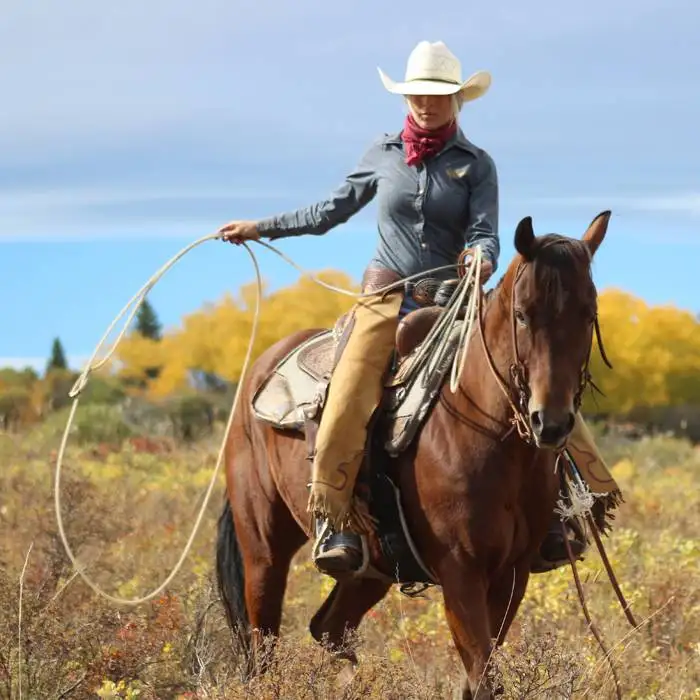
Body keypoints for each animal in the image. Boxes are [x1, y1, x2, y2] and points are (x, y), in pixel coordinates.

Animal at [216, 211, 608, 696]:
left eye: (588, 314)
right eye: (522, 314)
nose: (549, 423)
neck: (493, 439)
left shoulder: (512, 573)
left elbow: (482, 674)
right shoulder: (461, 572)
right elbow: (482, 673)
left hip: (373, 569)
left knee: (328, 628)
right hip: (263, 549)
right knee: (263, 642)